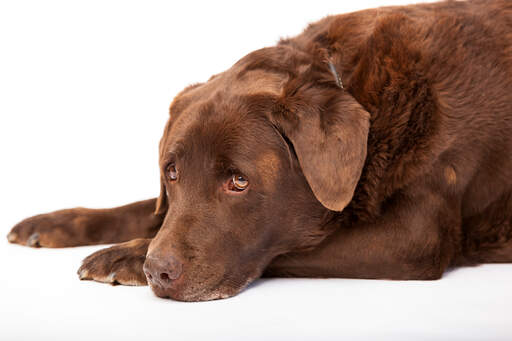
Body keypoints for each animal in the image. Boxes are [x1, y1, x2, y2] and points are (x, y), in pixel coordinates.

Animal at [7, 0, 512, 300]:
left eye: (239, 181)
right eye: (171, 173)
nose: (158, 272)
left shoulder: (412, 237)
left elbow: (286, 246)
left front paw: (125, 256)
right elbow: (146, 209)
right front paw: (53, 223)